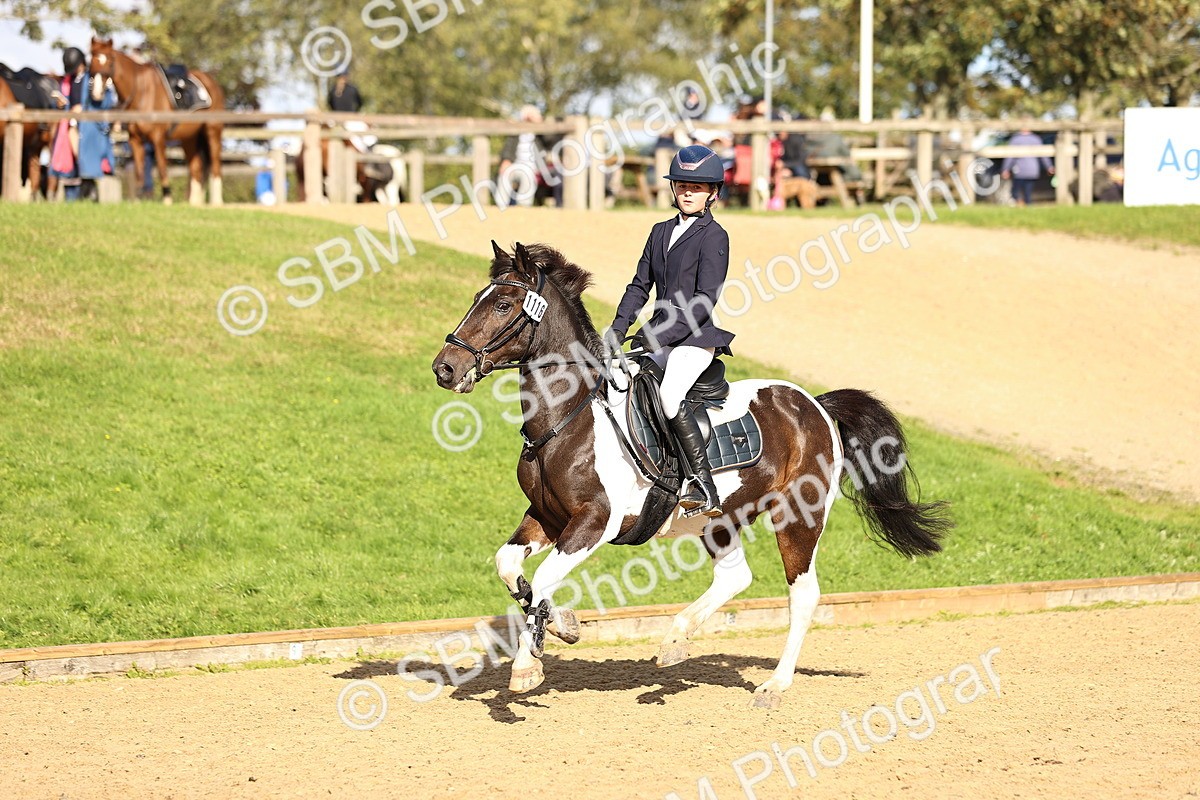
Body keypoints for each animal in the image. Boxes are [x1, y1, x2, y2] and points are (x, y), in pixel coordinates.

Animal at [86, 38, 225, 205]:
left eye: (110, 60)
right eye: (92, 59)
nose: (96, 93)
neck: (142, 92)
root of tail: (212, 83)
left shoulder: (158, 138)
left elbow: (161, 167)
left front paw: (167, 198)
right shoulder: (135, 140)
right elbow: (139, 170)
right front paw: (138, 199)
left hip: (213, 131)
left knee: (216, 165)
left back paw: (216, 202)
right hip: (189, 139)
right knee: (196, 168)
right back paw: (193, 202)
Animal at [431, 242, 952, 708]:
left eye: (502, 304)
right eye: (478, 297)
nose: (445, 368)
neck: (569, 414)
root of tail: (814, 403)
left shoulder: (593, 522)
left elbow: (540, 579)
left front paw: (526, 666)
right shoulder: (547, 517)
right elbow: (510, 568)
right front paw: (563, 625)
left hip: (798, 517)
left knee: (802, 594)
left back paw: (774, 685)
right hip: (720, 518)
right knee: (735, 577)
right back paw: (675, 642)